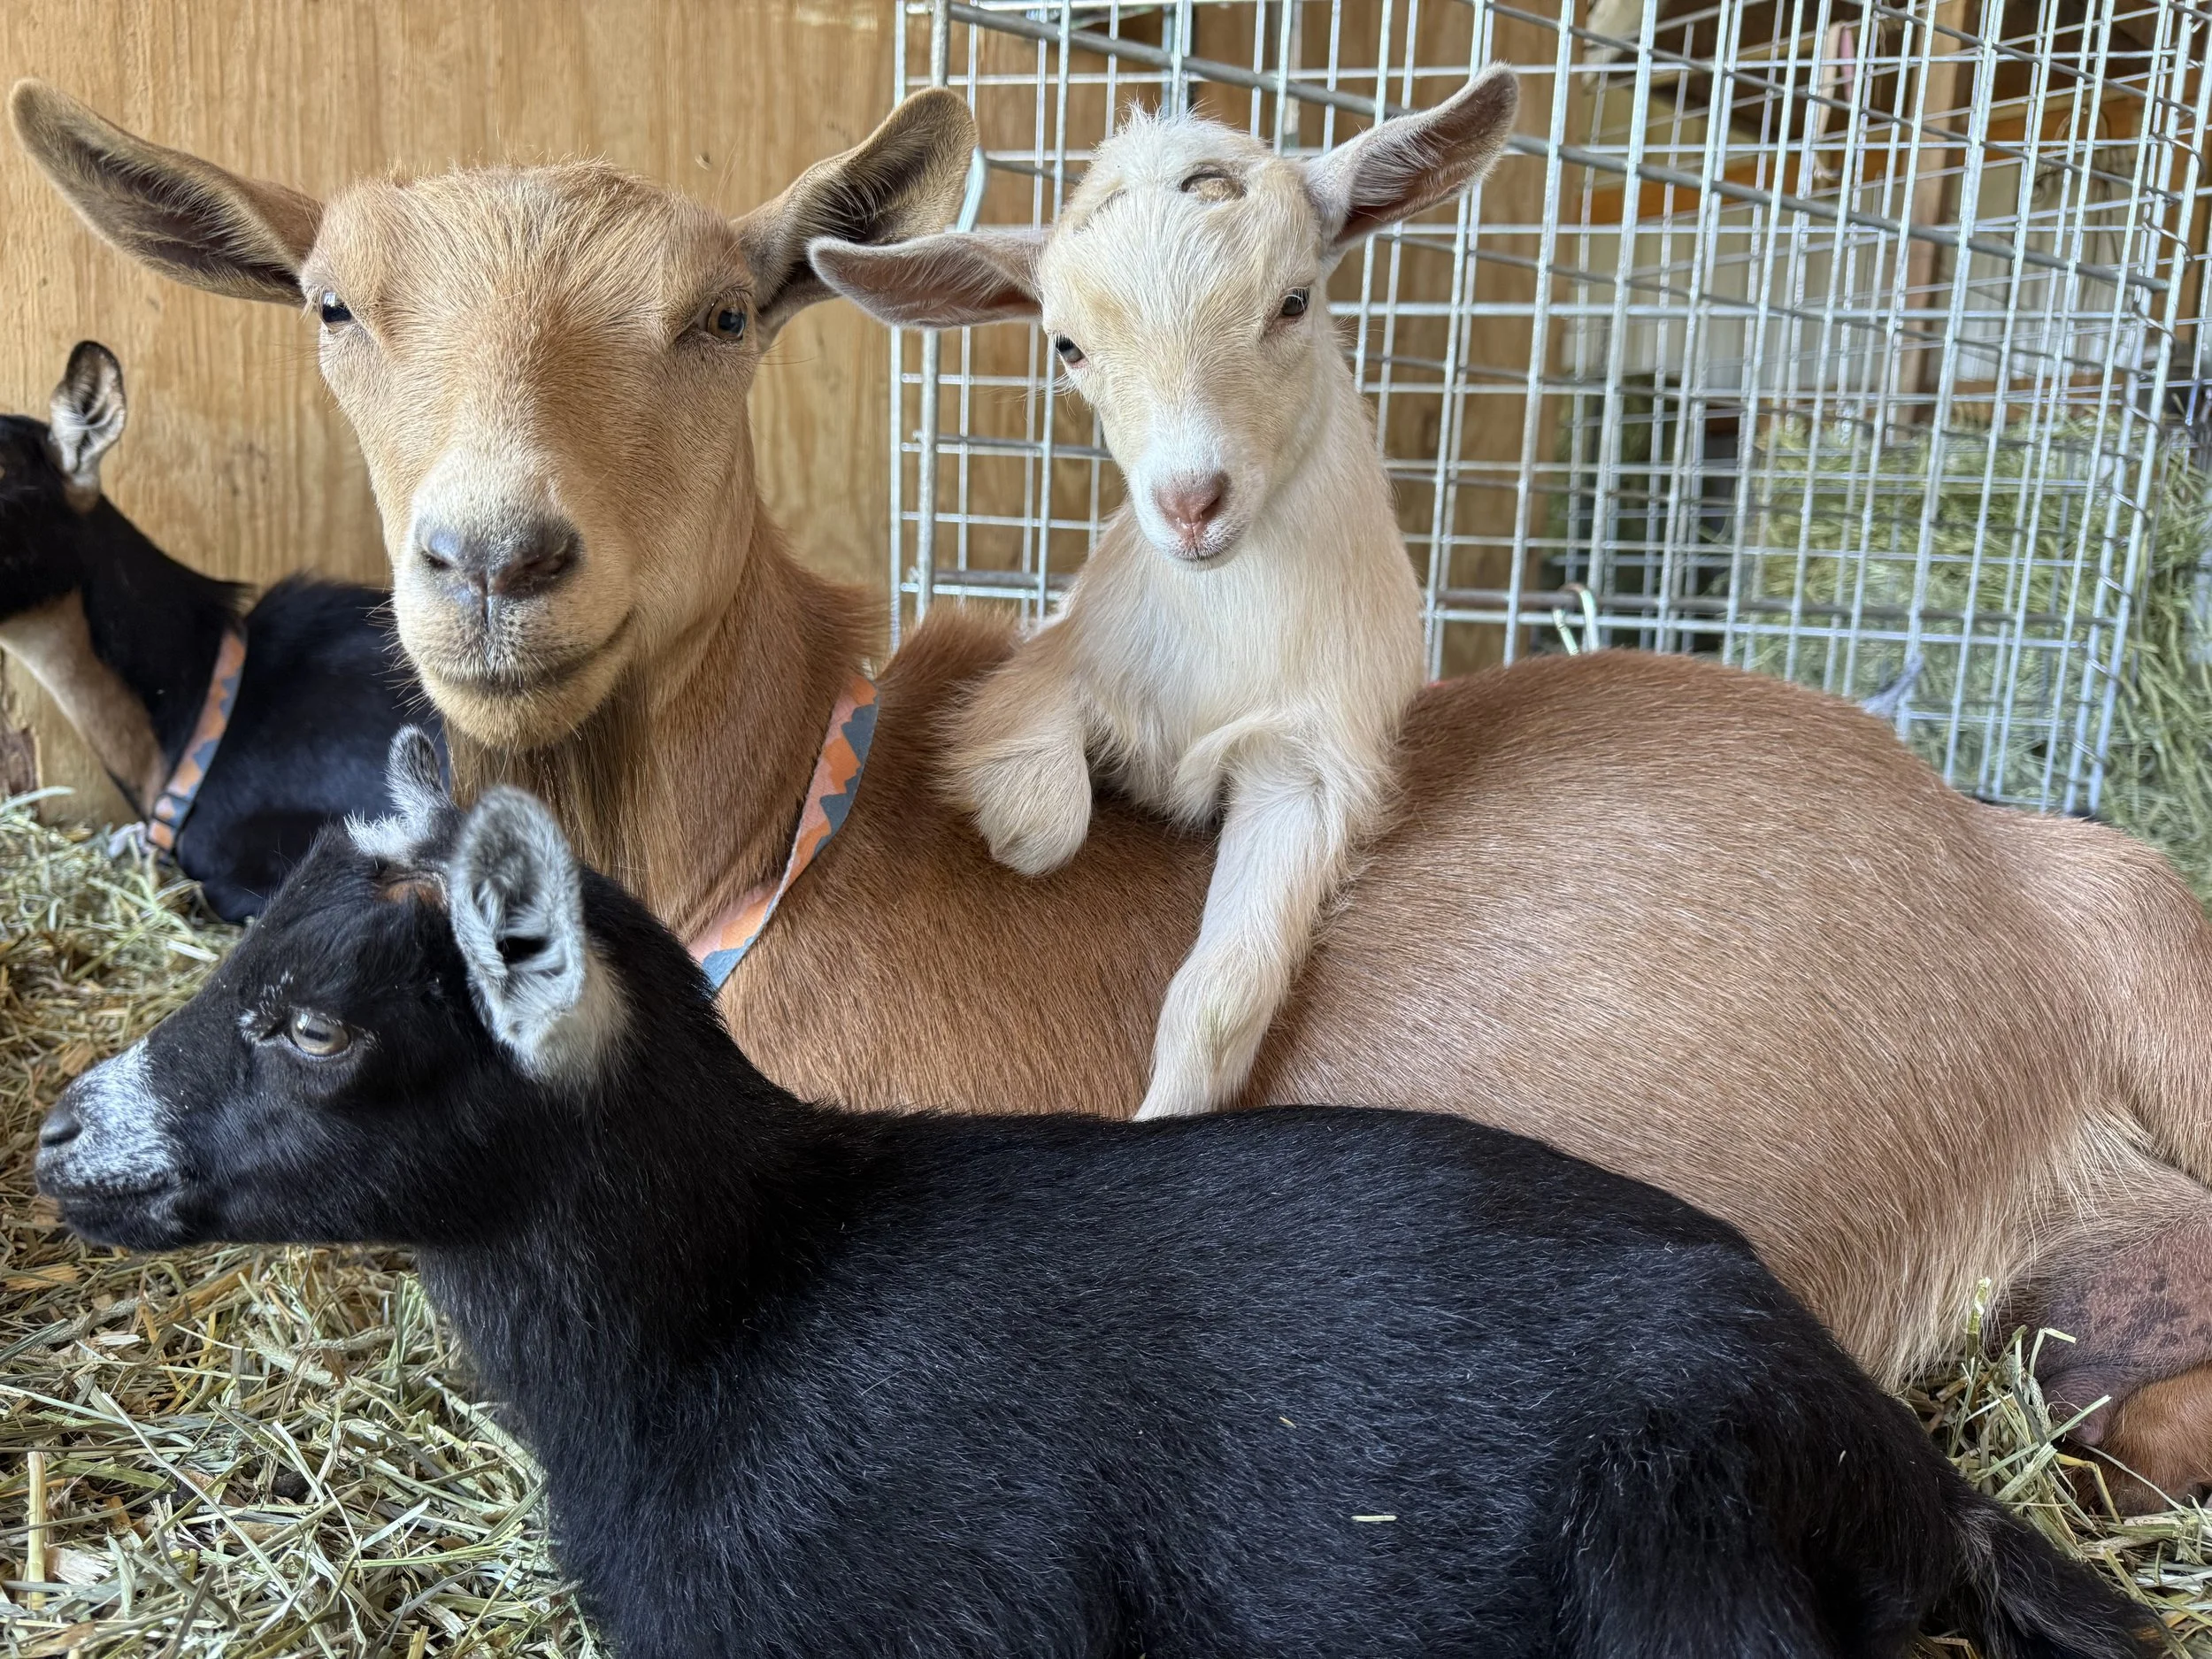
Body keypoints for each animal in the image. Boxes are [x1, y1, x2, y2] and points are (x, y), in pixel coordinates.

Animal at [814, 78, 1516, 1119]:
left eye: (1294, 300)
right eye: (1067, 345)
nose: (1189, 502)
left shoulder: (1308, 762)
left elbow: (1220, 999)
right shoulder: (1047, 668)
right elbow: (1045, 820)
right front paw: (1018, 828)